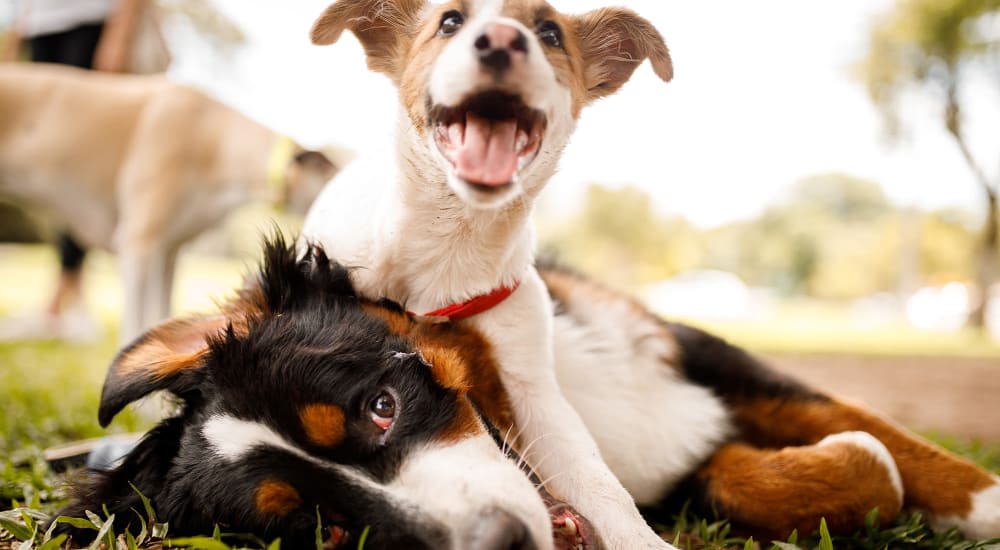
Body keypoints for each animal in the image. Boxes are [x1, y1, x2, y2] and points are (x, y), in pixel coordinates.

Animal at [56, 238, 1000, 550]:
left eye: (381, 405)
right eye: (321, 531)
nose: (501, 543)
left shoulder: (700, 356)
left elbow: (880, 432)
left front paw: (981, 501)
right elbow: (837, 465)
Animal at [302, 1, 680, 548]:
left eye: (550, 34)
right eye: (449, 22)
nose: (501, 40)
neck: (452, 241)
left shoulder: (532, 387)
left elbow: (598, 481)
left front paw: (640, 538)